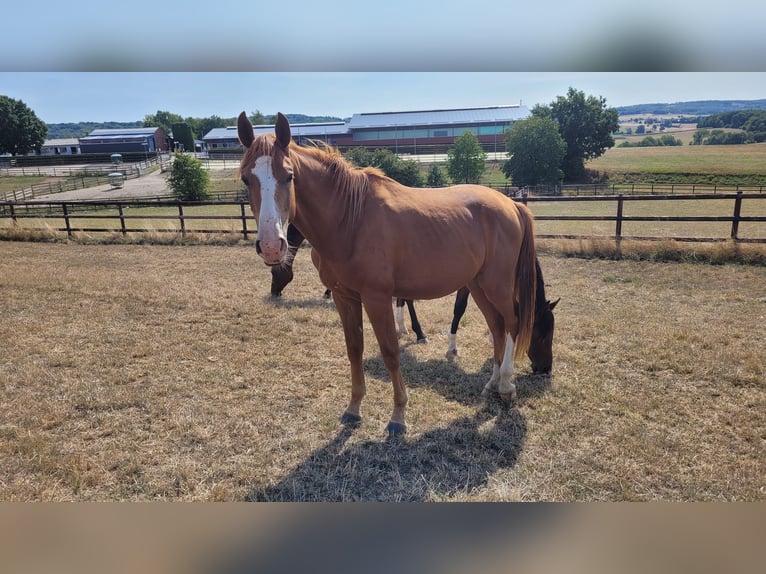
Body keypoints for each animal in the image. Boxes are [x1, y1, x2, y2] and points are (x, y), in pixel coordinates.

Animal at [240, 112, 544, 436]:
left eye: (289, 176)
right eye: (246, 177)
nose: (271, 246)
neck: (350, 220)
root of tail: (511, 204)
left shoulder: (377, 298)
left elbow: (390, 352)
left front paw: (398, 416)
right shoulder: (344, 297)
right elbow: (354, 349)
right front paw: (354, 408)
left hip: (497, 285)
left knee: (511, 322)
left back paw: (507, 386)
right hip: (477, 285)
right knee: (497, 327)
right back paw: (492, 384)